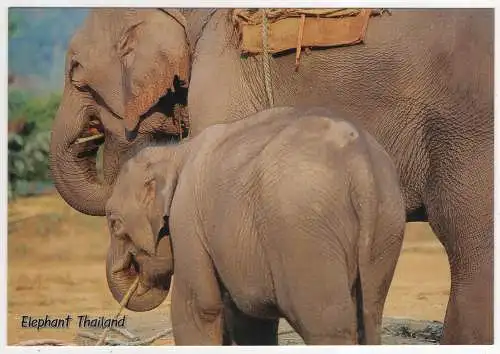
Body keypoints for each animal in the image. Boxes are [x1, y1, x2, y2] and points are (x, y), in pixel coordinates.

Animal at [105, 106, 406, 346]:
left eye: (114, 223)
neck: (177, 152)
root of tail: (360, 163)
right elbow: (249, 319)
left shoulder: (187, 216)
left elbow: (199, 307)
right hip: (387, 223)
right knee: (369, 314)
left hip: (304, 234)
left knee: (325, 324)